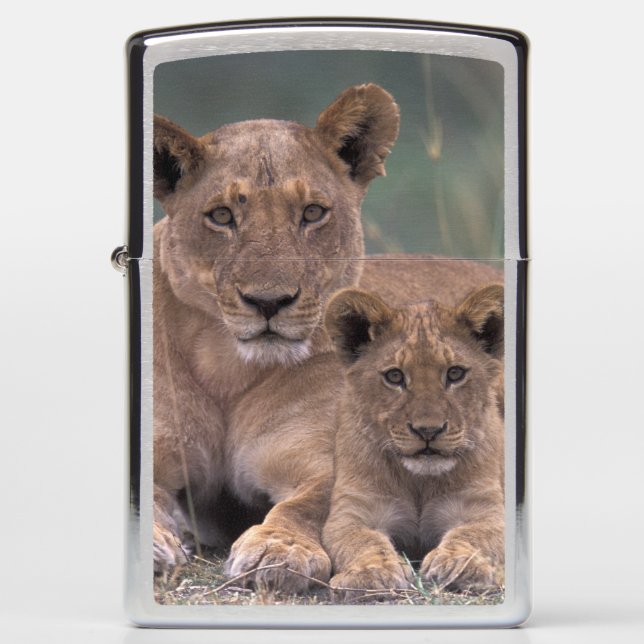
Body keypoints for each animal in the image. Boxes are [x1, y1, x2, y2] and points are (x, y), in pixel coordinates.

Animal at [321, 284, 505, 597]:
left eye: (455, 373)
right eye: (395, 376)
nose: (428, 431)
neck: (419, 482)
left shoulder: (484, 507)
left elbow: (474, 534)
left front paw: (458, 564)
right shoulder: (353, 511)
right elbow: (361, 541)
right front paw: (372, 572)